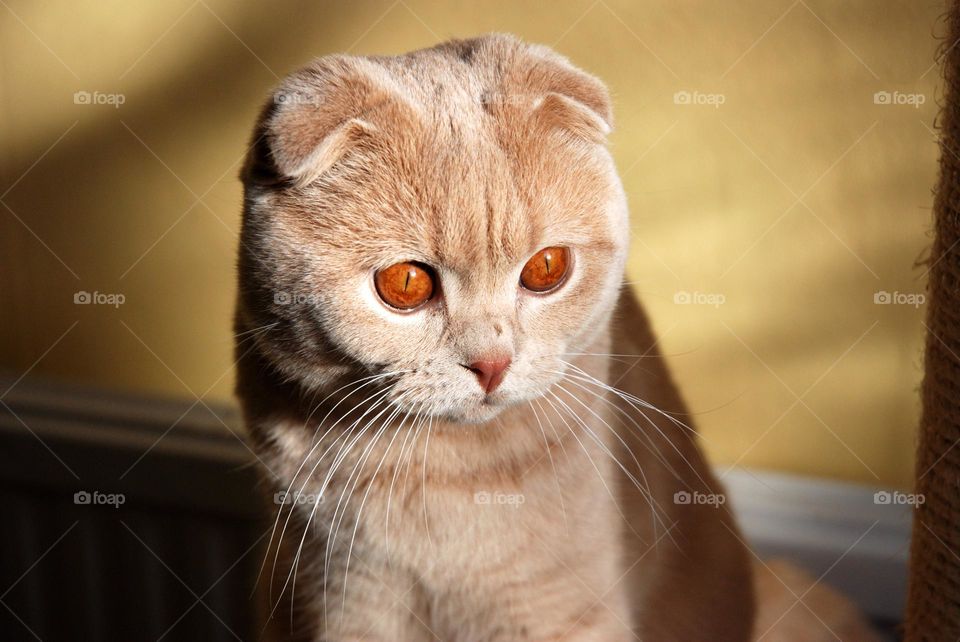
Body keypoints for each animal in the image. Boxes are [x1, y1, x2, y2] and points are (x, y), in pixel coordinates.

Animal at [236, 33, 880, 640]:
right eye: (405, 283)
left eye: (546, 268)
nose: (492, 363)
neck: (447, 476)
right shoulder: (341, 599)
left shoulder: (557, 612)